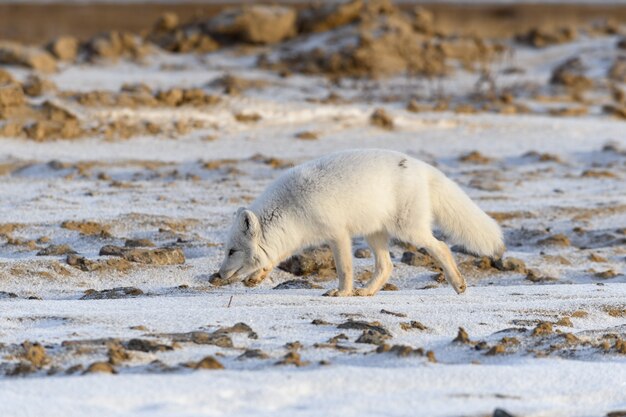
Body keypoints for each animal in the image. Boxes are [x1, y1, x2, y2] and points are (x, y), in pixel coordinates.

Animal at [214, 150, 502, 296]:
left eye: (232, 251)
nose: (216, 275)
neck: (291, 207)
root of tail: (422, 166)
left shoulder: (337, 234)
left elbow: (344, 268)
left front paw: (341, 293)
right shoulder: (292, 237)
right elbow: (273, 257)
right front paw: (256, 278)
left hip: (408, 230)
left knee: (441, 246)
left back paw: (458, 284)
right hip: (375, 233)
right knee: (386, 266)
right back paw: (366, 292)